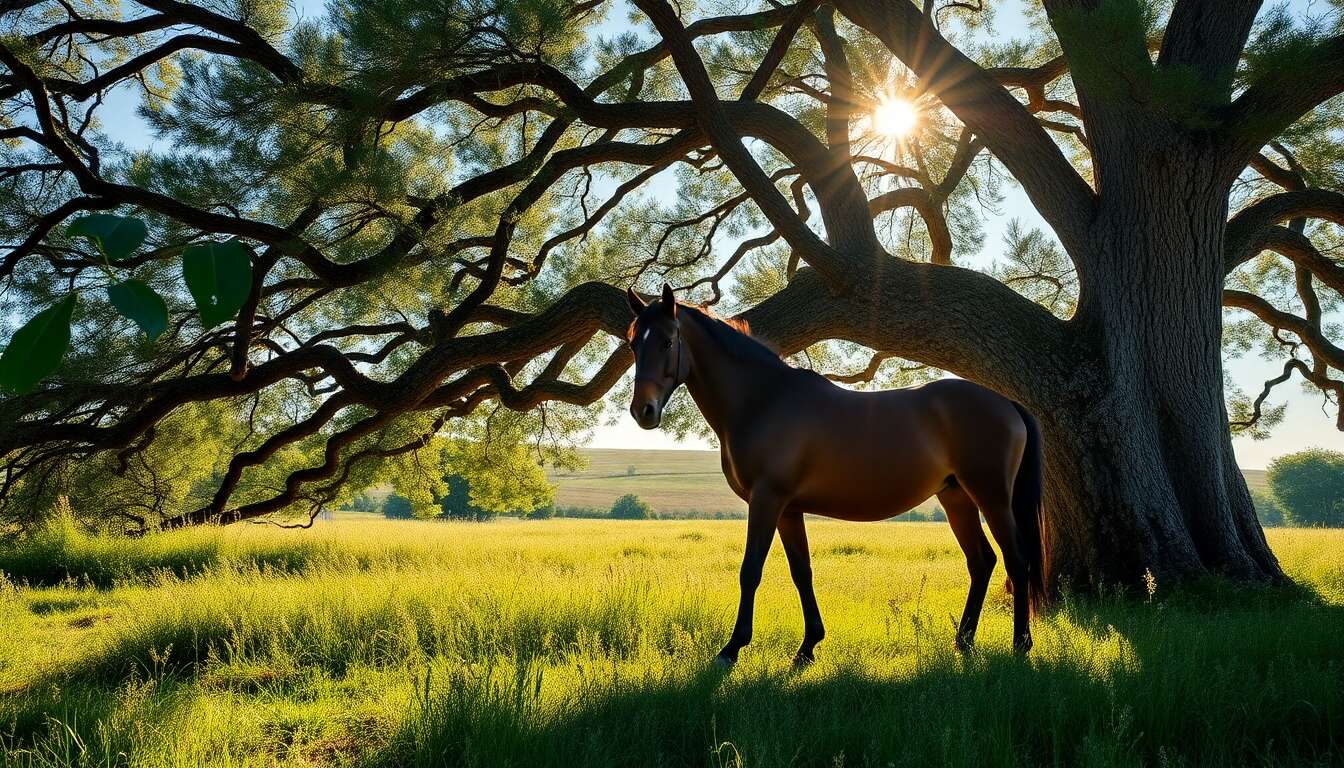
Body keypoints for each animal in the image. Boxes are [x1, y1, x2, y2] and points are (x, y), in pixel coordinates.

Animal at [625, 284, 1045, 666]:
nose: (643, 411)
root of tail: (1006, 402)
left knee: (1016, 558)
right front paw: (808, 647)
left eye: (667, 341)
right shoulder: (789, 510)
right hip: (956, 497)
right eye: (632, 344)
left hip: (991, 496)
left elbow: (751, 570)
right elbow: (802, 572)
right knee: (981, 561)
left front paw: (732, 648)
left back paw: (1020, 645)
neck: (764, 399)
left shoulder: (767, 500)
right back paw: (964, 641)